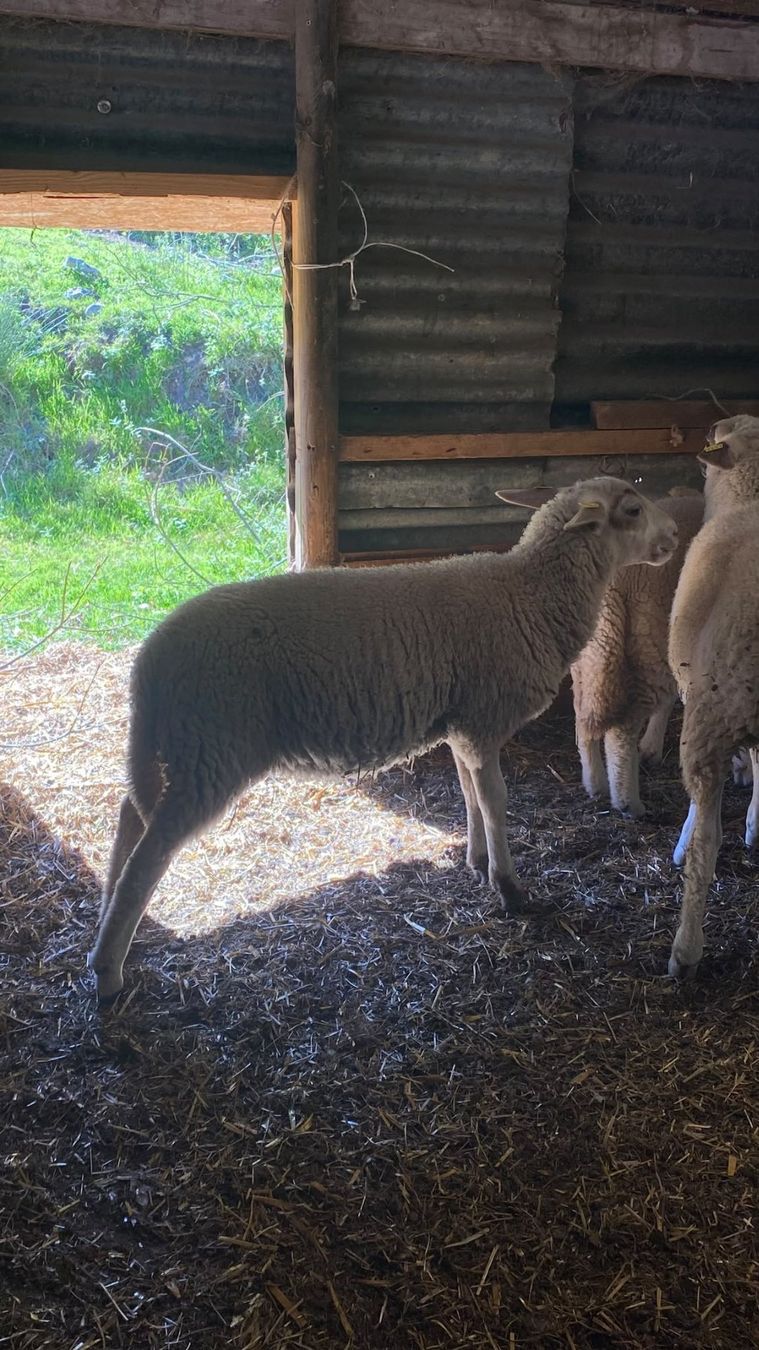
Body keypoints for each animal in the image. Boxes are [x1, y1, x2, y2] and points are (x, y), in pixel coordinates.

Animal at [87, 476, 679, 1002]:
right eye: (632, 509)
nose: (674, 537)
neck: (528, 593)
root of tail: (147, 664)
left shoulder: (461, 725)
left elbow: (470, 794)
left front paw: (476, 862)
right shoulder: (484, 719)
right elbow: (495, 800)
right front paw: (509, 887)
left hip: (182, 745)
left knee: (131, 815)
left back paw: (110, 925)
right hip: (211, 746)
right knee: (149, 854)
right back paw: (108, 974)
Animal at [571, 490, 704, 819]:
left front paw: (652, 747)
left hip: (591, 658)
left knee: (583, 720)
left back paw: (594, 783)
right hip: (647, 634)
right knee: (620, 731)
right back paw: (628, 802)